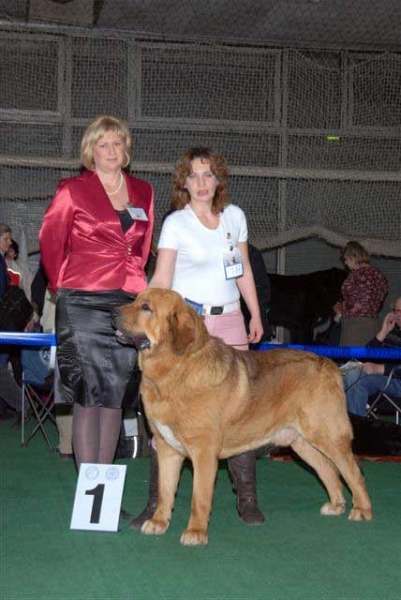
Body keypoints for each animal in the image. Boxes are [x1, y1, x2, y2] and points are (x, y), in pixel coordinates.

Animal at [112, 288, 372, 548]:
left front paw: (196, 532)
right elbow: (165, 491)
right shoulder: (167, 449)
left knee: (353, 471)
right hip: (302, 443)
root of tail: (329, 363)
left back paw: (362, 510)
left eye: (146, 307)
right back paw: (336, 505)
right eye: (136, 300)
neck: (174, 370)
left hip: (328, 435)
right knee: (328, 470)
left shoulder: (204, 452)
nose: (112, 312)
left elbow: (199, 497)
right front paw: (158, 522)